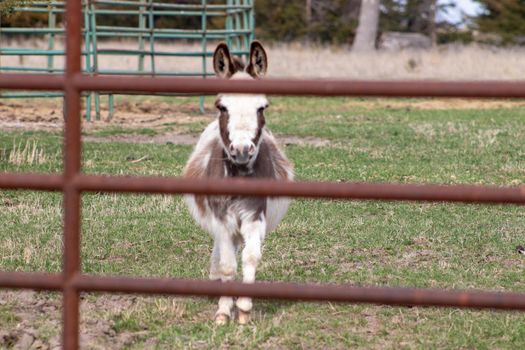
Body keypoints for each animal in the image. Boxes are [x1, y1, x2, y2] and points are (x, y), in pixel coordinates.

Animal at [183, 41, 290, 326]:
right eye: (222, 107)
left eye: (262, 107)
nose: (241, 150)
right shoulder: (222, 219)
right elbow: (228, 265)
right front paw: (223, 311)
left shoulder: (255, 217)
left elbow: (250, 257)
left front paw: (243, 309)